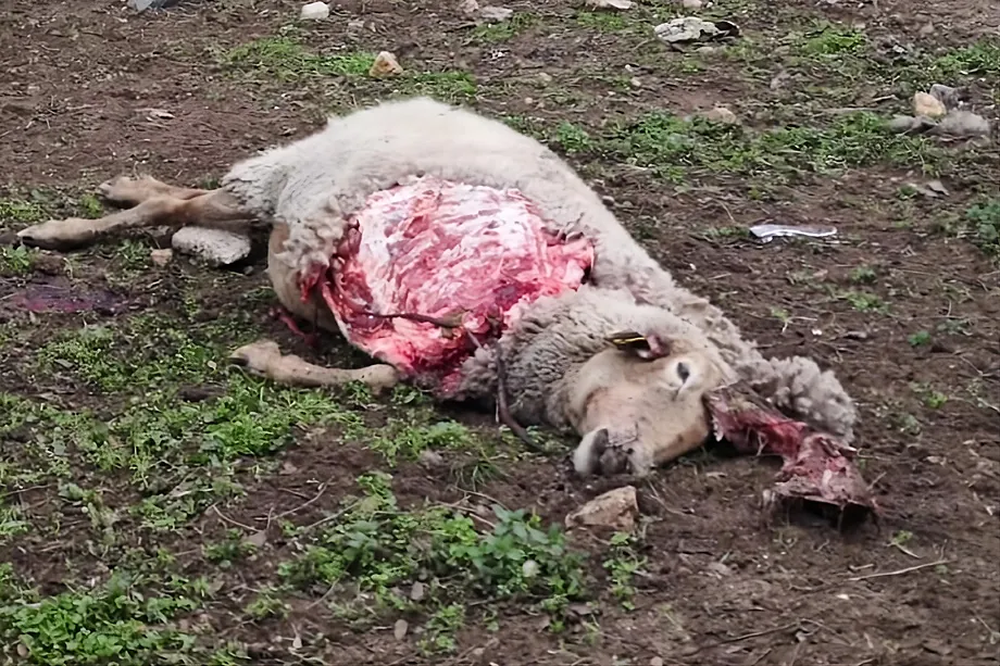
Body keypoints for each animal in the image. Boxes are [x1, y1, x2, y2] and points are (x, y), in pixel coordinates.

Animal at [16, 96, 858, 479]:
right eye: (676, 372)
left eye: (708, 435)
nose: (622, 461)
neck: (543, 311)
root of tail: (420, 102)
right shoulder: (396, 313)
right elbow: (375, 375)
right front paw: (264, 358)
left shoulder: (430, 352)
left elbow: (383, 381)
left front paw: (268, 360)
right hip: (279, 181)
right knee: (180, 207)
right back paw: (66, 229)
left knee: (185, 204)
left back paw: (125, 187)